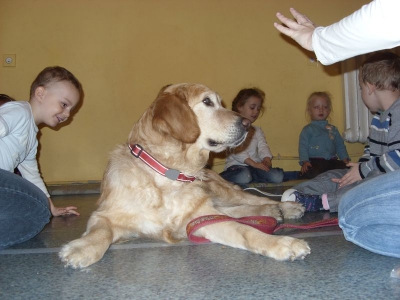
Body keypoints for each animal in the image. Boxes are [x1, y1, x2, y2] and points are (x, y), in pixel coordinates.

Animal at [58, 83, 310, 268]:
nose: (248, 124)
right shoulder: (104, 215)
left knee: (253, 201)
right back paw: (273, 212)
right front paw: (83, 248)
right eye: (207, 102)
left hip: (225, 193)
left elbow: (247, 231)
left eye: (221, 103)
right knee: (237, 210)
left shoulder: (200, 219)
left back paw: (285, 208)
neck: (169, 176)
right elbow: (102, 232)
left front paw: (282, 243)